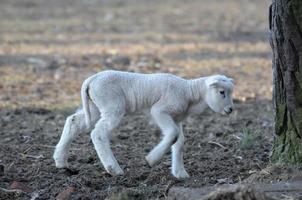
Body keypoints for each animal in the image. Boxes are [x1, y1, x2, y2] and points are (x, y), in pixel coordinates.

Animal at [53, 70, 235, 178]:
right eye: (221, 92)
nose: (231, 110)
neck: (190, 92)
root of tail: (91, 80)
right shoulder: (160, 111)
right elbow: (173, 135)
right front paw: (151, 160)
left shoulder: (176, 118)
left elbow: (179, 141)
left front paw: (180, 173)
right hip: (112, 106)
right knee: (98, 133)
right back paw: (114, 169)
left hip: (94, 107)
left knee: (73, 122)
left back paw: (61, 161)